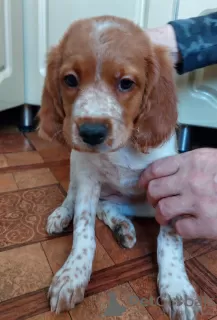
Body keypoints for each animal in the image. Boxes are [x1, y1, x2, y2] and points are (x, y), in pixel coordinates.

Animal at [38, 15, 201, 320]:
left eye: (126, 83)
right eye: (70, 80)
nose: (91, 132)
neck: (123, 148)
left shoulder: (165, 182)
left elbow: (170, 240)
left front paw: (176, 287)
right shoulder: (88, 177)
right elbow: (83, 228)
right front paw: (73, 275)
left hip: (145, 203)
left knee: (109, 206)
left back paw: (123, 226)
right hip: (76, 164)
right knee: (75, 199)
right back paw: (64, 215)